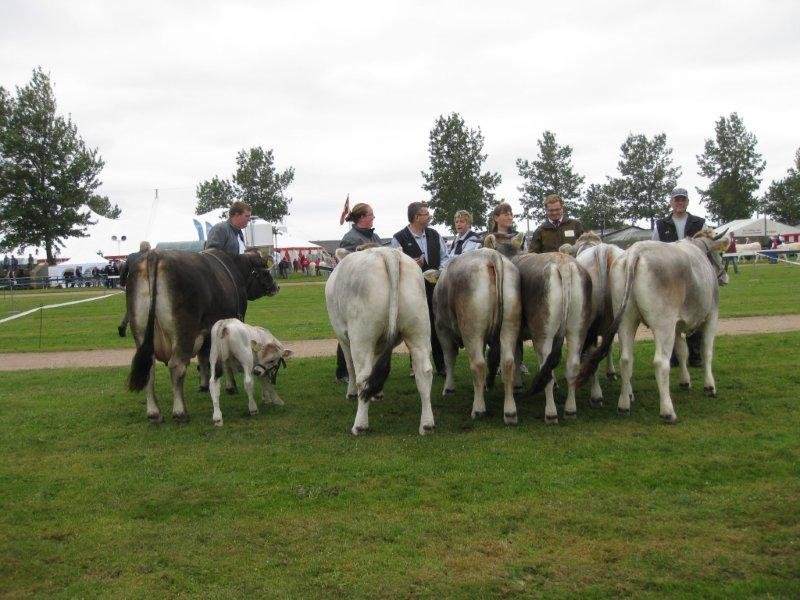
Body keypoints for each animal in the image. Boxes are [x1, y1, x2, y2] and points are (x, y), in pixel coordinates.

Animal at [127, 249, 279, 423]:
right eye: (265, 271)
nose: (276, 286)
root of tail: (154, 254)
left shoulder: (205, 334)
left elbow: (203, 358)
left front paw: (204, 384)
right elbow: (224, 360)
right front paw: (230, 386)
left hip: (141, 334)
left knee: (149, 371)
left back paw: (154, 413)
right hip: (184, 333)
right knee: (177, 366)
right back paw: (180, 412)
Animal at [325, 246, 435, 436]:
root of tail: (387, 252)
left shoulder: (343, 337)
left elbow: (350, 367)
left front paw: (352, 393)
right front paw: (377, 394)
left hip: (361, 336)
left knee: (363, 375)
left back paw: (360, 425)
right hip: (419, 330)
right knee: (424, 372)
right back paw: (427, 424)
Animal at [427, 247, 522, 423]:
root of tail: (490, 255)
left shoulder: (441, 329)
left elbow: (449, 358)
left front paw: (448, 389)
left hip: (472, 329)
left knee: (478, 364)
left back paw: (478, 409)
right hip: (509, 325)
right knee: (507, 362)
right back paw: (510, 412)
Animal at [486, 234, 593, 423]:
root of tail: (563, 264)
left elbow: (512, 356)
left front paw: (514, 385)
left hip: (543, 334)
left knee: (546, 368)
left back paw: (550, 414)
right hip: (578, 328)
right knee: (571, 366)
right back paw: (570, 410)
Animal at [579, 231, 729, 423]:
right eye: (720, 253)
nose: (725, 277)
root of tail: (635, 251)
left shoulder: (676, 326)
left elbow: (682, 351)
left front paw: (685, 381)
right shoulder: (711, 315)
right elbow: (706, 351)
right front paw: (709, 386)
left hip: (626, 319)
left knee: (625, 359)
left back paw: (624, 404)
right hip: (663, 323)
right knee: (660, 363)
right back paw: (667, 411)